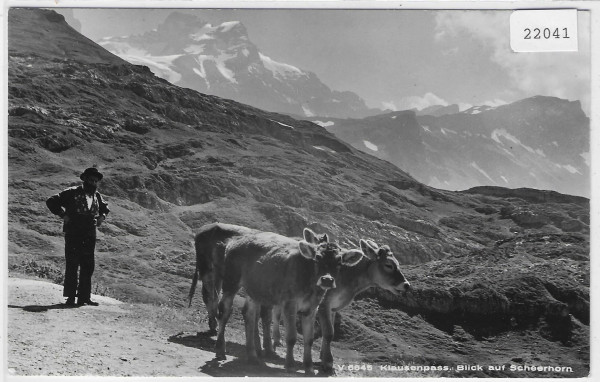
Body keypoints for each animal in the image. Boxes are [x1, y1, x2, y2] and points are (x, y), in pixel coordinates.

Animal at [214, 230, 360, 374]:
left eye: (339, 262)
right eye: (318, 258)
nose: (327, 280)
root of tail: (236, 240)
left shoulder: (312, 309)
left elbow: (309, 339)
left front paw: (309, 368)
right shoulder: (289, 304)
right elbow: (291, 336)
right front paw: (290, 365)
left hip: (254, 289)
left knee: (249, 315)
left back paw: (252, 356)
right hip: (231, 282)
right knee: (224, 311)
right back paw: (220, 350)